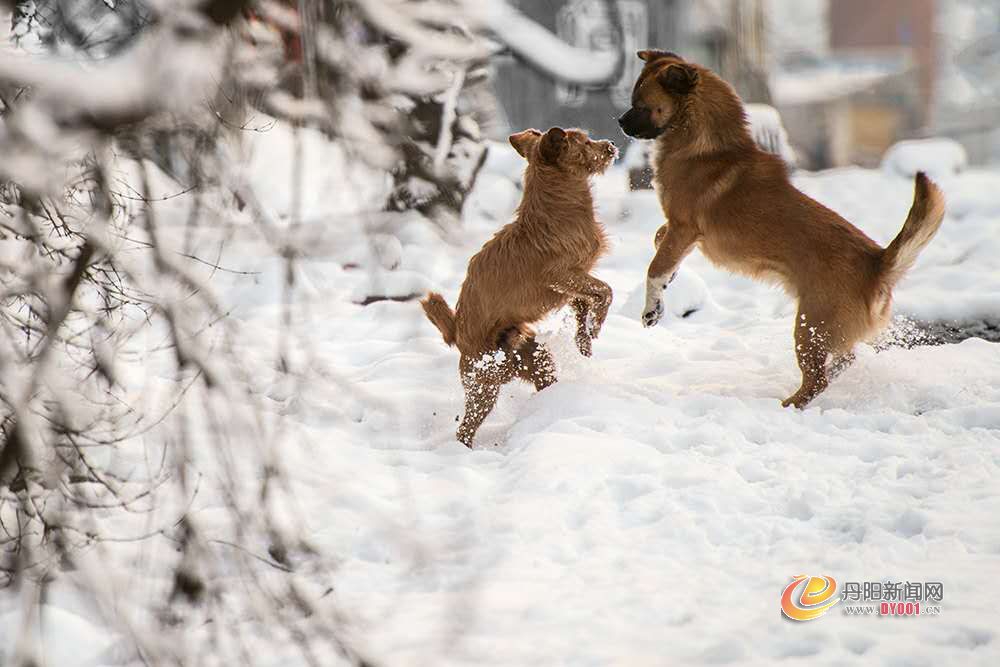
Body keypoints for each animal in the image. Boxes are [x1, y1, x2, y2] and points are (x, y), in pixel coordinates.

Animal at [422, 126, 616, 448]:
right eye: (586, 142)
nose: (611, 144)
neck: (557, 207)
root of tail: (458, 335)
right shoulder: (562, 275)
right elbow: (604, 291)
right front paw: (596, 325)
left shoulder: (570, 284)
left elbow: (583, 302)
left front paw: (584, 338)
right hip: (484, 385)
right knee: (465, 428)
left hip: (537, 360)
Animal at [616, 51, 944, 408]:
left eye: (641, 105)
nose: (619, 121)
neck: (707, 144)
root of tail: (878, 263)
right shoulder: (680, 232)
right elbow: (659, 242)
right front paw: (671, 278)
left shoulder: (684, 227)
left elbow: (655, 268)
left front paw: (652, 308)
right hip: (823, 333)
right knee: (843, 361)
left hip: (809, 329)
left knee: (817, 380)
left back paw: (788, 405)